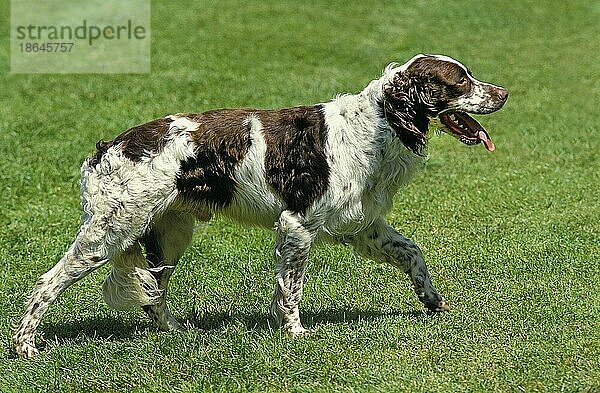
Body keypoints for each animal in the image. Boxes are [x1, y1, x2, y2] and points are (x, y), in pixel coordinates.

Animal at [11, 53, 506, 356]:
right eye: (459, 82)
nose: (503, 93)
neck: (378, 125)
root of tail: (106, 148)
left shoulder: (362, 225)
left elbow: (412, 253)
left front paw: (432, 301)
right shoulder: (298, 225)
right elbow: (290, 290)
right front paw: (295, 334)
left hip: (169, 233)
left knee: (153, 294)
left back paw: (178, 333)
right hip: (109, 233)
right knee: (47, 284)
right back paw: (24, 347)